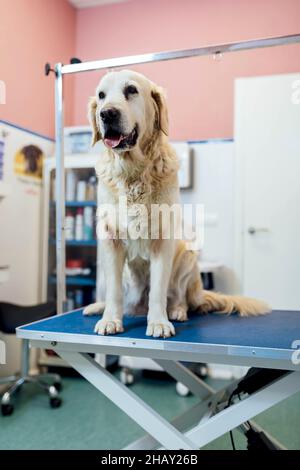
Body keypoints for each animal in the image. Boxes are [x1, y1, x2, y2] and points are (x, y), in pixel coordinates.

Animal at [82, 68, 270, 336]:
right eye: (101, 95)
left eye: (131, 90)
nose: (106, 113)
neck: (133, 173)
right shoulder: (110, 238)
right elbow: (114, 291)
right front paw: (110, 319)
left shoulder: (163, 239)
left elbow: (158, 290)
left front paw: (159, 322)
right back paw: (98, 307)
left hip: (187, 257)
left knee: (179, 296)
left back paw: (177, 311)